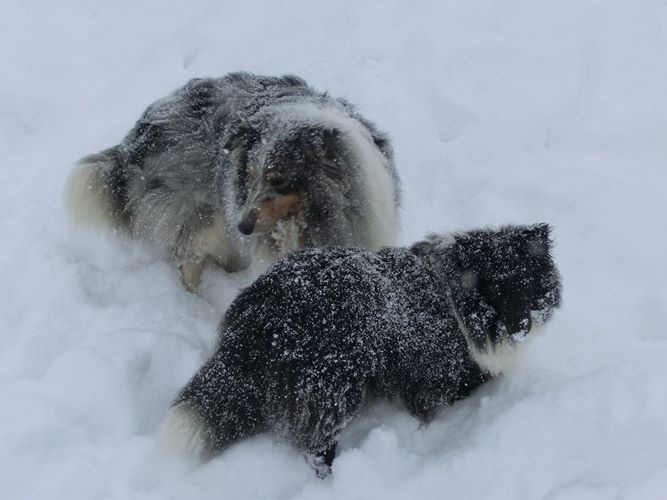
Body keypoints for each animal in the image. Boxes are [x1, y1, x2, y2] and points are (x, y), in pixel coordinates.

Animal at [66, 73, 402, 292]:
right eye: (250, 174)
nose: (243, 227)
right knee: (188, 261)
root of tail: (132, 143)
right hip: (197, 213)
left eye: (278, 180)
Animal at [159, 225, 560, 474]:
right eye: (496, 290)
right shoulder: (435, 376)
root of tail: (261, 309)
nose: (522, 327)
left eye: (529, 285)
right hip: (331, 386)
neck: (452, 296)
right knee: (316, 445)